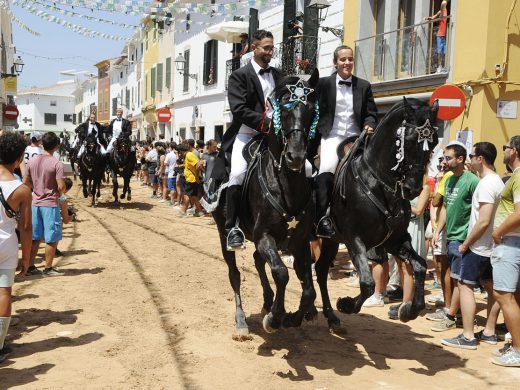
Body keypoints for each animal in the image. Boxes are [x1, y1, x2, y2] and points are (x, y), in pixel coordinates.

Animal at [212, 70, 320, 338]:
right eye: (285, 108)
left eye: (311, 109)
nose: (295, 156)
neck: (287, 185)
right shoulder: (265, 236)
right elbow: (281, 273)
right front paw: (275, 317)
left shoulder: (299, 241)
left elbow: (308, 286)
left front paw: (293, 317)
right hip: (224, 234)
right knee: (235, 274)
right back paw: (242, 322)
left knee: (257, 260)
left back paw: (268, 300)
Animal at [312, 98, 438, 332]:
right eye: (408, 141)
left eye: (433, 143)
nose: (413, 189)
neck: (378, 183)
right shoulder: (355, 240)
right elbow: (368, 283)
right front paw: (346, 304)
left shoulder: (394, 241)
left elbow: (420, 266)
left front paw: (409, 310)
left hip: (331, 241)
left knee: (321, 269)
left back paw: (331, 318)